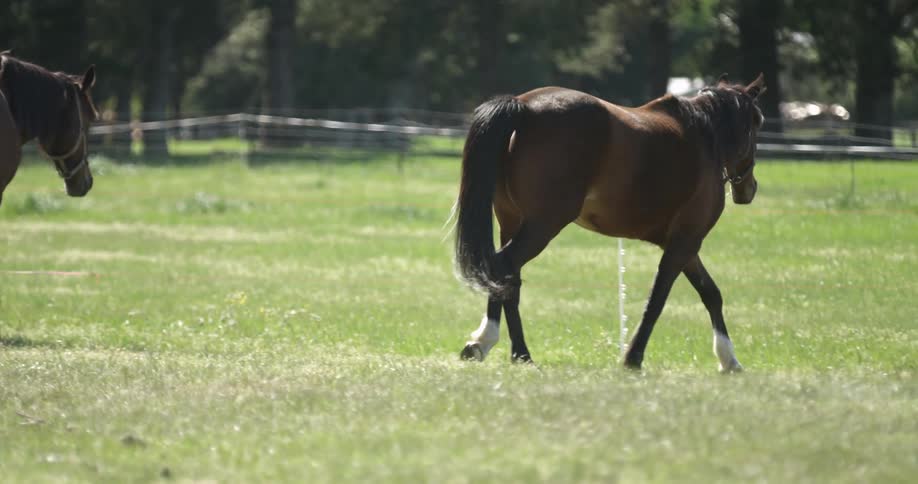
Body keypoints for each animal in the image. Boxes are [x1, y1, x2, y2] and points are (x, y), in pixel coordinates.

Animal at [453, 74, 765, 372]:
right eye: (758, 121)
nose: (749, 189)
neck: (705, 136)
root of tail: (524, 107)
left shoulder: (683, 244)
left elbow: (710, 293)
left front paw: (728, 359)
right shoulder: (685, 241)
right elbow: (658, 299)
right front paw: (634, 356)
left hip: (512, 222)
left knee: (502, 275)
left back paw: (486, 343)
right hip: (543, 225)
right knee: (504, 268)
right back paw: (520, 353)